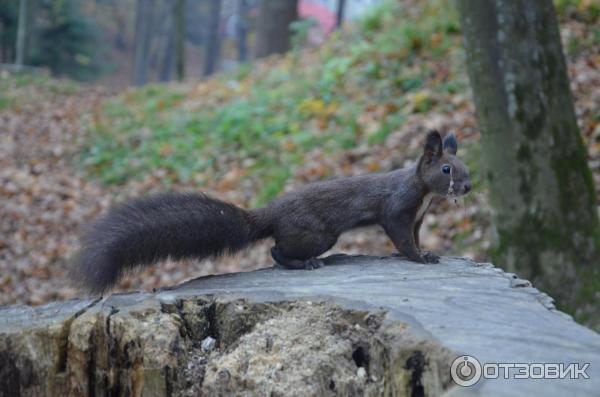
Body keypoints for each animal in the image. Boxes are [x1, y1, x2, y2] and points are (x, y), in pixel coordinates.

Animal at [75, 129, 472, 290]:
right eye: (446, 169)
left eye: (463, 164)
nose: (468, 187)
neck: (424, 193)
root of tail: (269, 214)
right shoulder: (397, 210)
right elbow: (402, 239)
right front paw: (418, 258)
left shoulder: (417, 218)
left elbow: (413, 238)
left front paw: (423, 252)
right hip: (316, 234)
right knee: (276, 251)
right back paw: (304, 263)